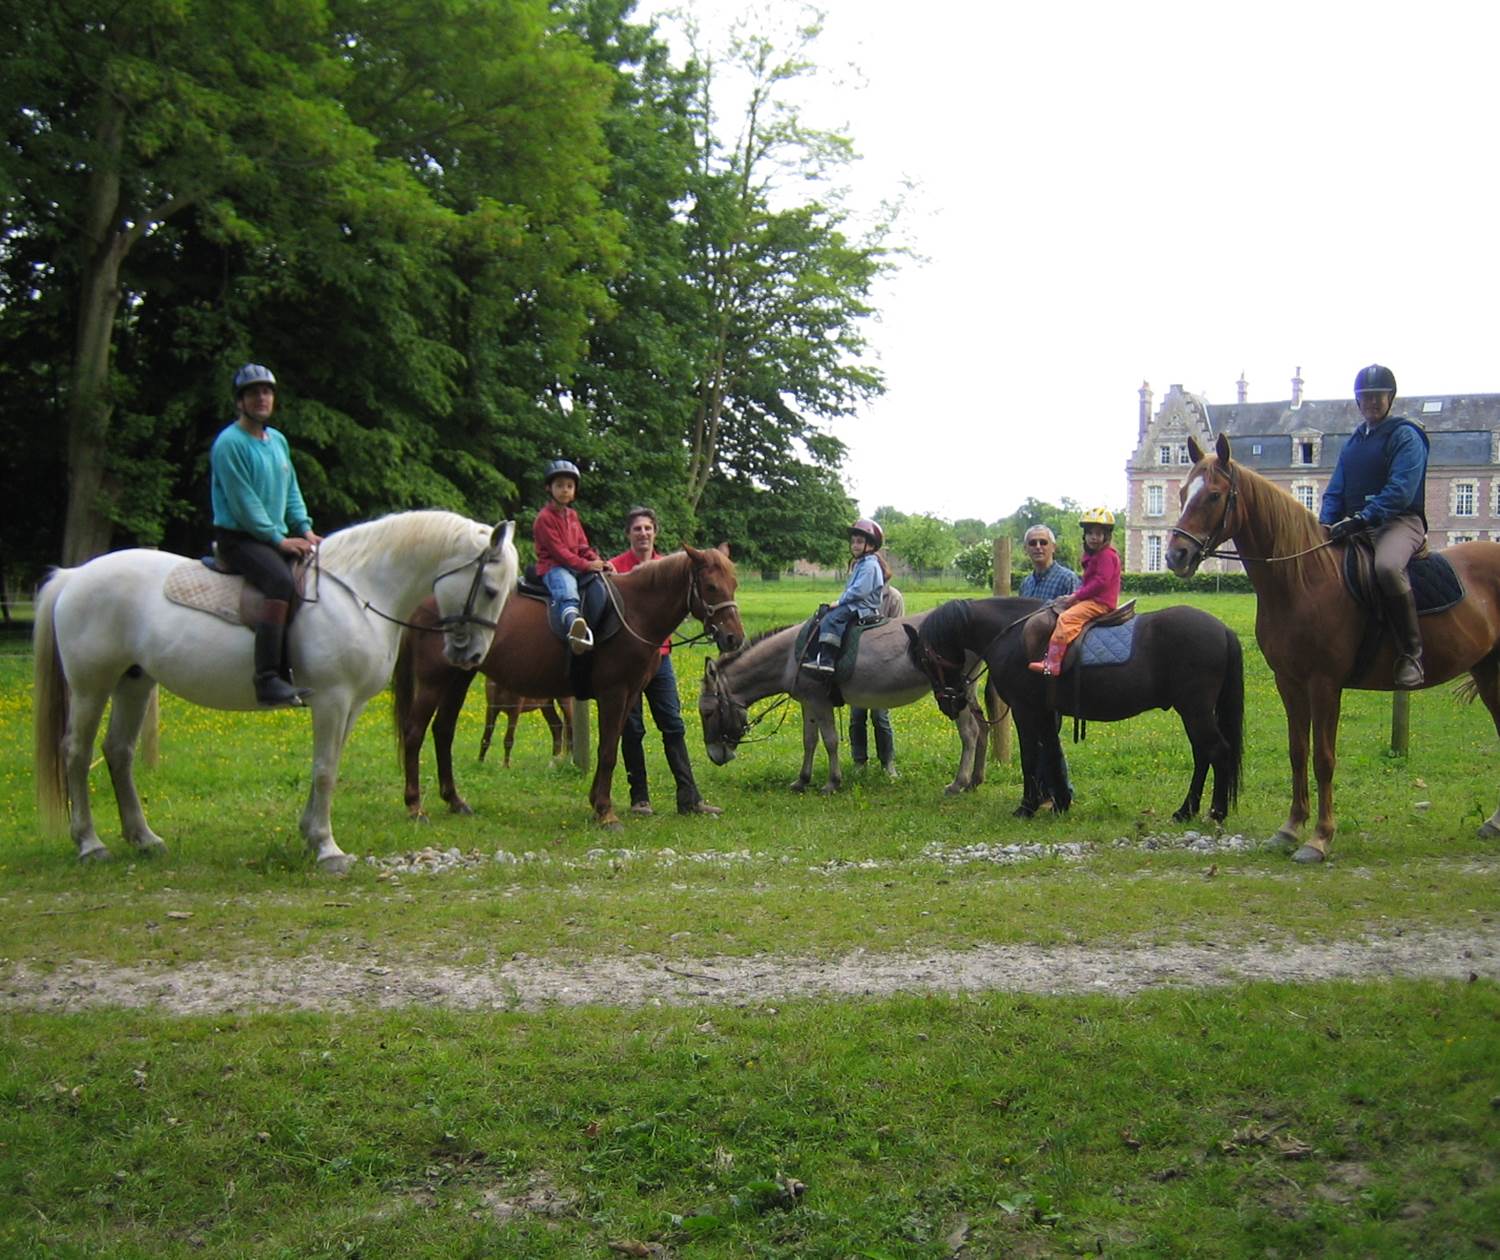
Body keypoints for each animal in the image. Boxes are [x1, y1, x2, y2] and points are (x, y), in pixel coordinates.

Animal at [33, 511, 518, 873]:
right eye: (490, 589)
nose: (472, 654)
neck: (361, 591)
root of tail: (75, 576)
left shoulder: (352, 705)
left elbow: (330, 766)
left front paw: (311, 835)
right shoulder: (331, 698)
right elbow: (324, 770)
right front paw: (327, 849)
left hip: (133, 683)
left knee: (118, 752)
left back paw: (144, 839)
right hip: (91, 686)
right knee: (76, 753)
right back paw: (91, 844)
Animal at [393, 546, 742, 826]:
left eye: (734, 584)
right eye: (711, 586)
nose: (734, 638)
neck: (635, 611)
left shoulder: (629, 694)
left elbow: (611, 746)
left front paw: (597, 803)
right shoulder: (614, 693)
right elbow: (608, 751)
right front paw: (606, 813)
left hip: (459, 677)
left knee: (443, 731)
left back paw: (455, 801)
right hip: (434, 679)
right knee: (414, 733)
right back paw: (415, 807)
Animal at [698, 613, 989, 794]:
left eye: (708, 712)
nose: (714, 756)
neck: (791, 657)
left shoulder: (819, 701)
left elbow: (829, 741)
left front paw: (832, 783)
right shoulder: (808, 703)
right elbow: (809, 741)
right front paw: (801, 781)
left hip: (954, 693)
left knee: (970, 732)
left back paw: (958, 783)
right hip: (967, 690)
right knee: (984, 728)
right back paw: (975, 781)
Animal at [912, 596, 1244, 823]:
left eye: (926, 660)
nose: (949, 703)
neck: (1012, 635)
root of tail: (1223, 629)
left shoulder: (1025, 710)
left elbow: (1031, 756)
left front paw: (1027, 806)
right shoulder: (1045, 712)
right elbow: (1049, 751)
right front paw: (1059, 802)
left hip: (1195, 711)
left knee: (1216, 752)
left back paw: (1213, 811)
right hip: (1194, 712)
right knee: (1203, 754)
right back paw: (1188, 811)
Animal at [1167, 431, 1500, 861]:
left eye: (1213, 495)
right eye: (1181, 493)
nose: (1176, 555)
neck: (1303, 580)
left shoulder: (1325, 684)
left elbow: (1323, 758)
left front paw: (1320, 838)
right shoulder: (1289, 682)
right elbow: (1297, 751)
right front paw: (1290, 828)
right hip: (1489, 671)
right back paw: (1493, 823)